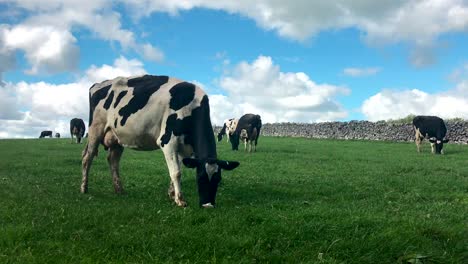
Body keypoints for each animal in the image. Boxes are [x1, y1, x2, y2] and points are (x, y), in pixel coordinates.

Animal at [80, 75, 239, 208]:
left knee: (113, 161)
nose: (208, 205)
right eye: (200, 178)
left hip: (117, 137)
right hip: (95, 129)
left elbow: (177, 169)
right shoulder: (168, 141)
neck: (191, 106)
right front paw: (180, 200)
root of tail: (98, 84)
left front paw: (172, 194)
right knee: (87, 158)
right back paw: (84, 188)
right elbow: (176, 172)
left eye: (218, 179)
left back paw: (119, 189)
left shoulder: (183, 147)